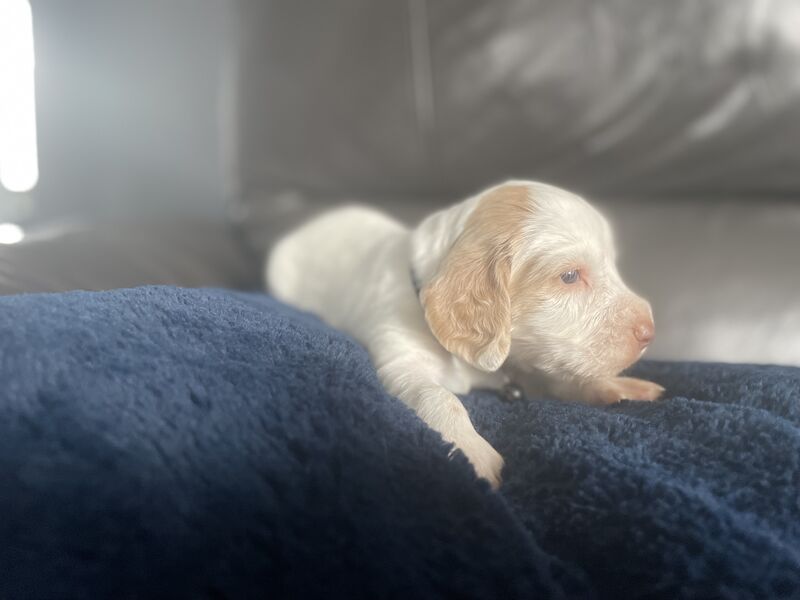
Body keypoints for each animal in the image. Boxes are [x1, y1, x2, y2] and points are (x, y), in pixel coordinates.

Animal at [268, 182, 664, 488]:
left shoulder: (529, 359)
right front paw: (472, 452)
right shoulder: (401, 358)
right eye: (569, 276)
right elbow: (439, 396)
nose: (650, 331)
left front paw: (617, 386)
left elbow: (559, 377)